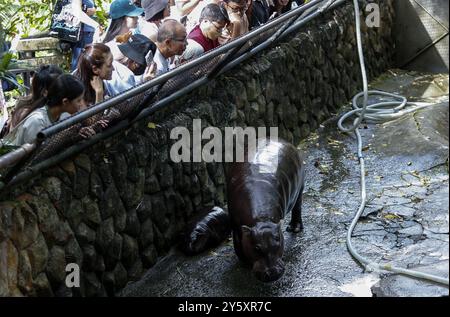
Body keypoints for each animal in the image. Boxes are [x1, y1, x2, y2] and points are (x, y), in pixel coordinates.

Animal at [225, 138, 306, 282]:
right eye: (256, 248)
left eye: (278, 241)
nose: (273, 273)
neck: (261, 220)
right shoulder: (235, 226)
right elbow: (238, 246)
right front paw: (245, 264)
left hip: (300, 188)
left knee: (298, 207)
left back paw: (295, 228)